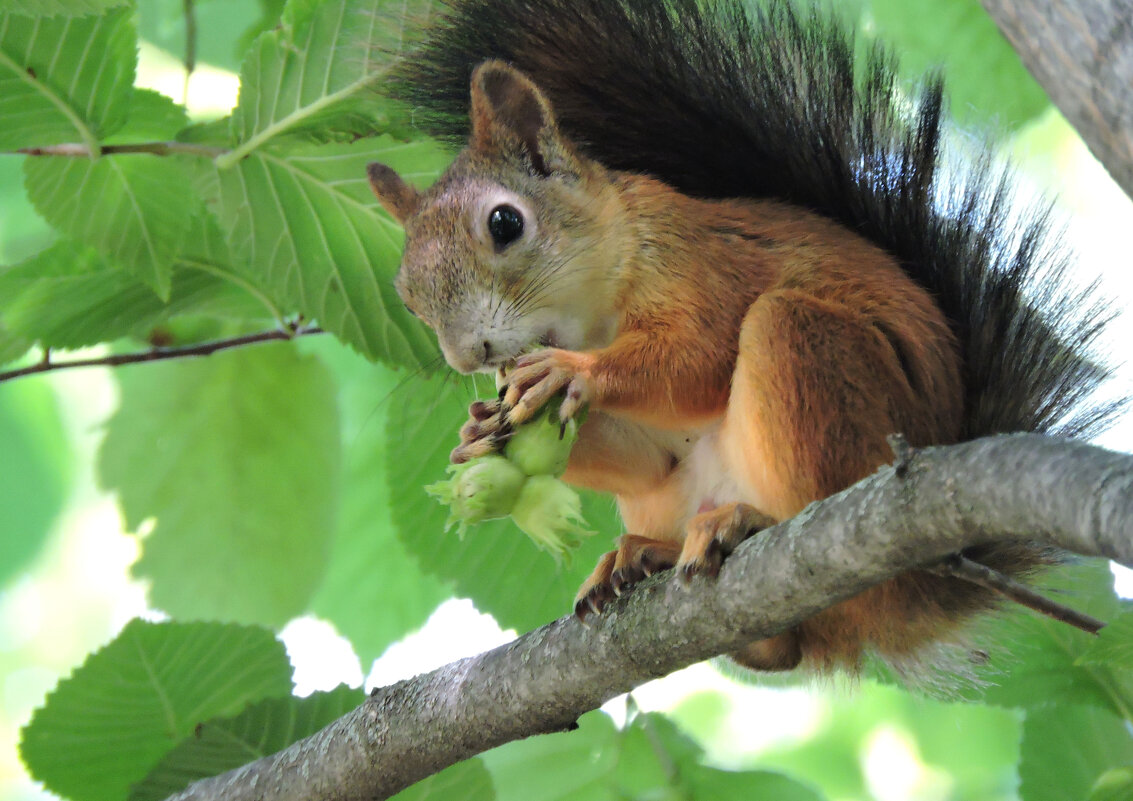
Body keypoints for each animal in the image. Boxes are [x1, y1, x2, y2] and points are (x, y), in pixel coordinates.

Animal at [364, 0, 1114, 675]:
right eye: (405, 292)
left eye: (505, 223)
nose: (468, 355)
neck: (594, 313)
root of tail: (923, 592)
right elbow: (645, 453)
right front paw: (477, 430)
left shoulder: (700, 264)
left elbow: (698, 360)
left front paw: (569, 372)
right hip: (679, 500)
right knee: (778, 647)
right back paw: (645, 559)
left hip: (814, 359)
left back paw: (744, 522)